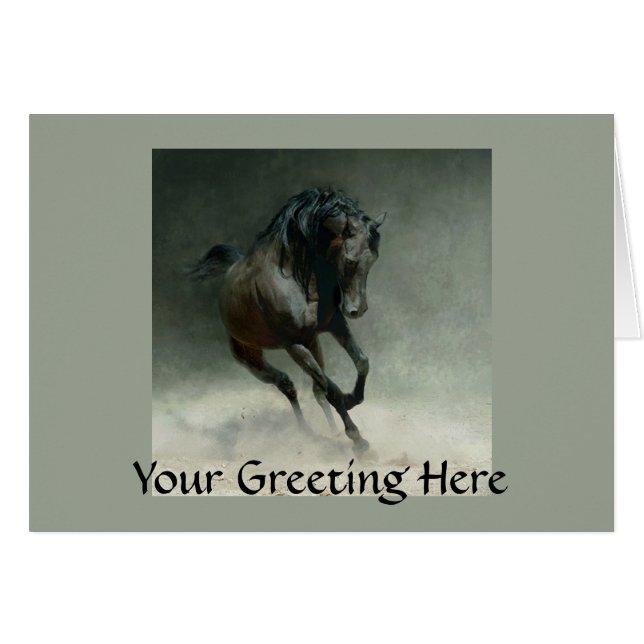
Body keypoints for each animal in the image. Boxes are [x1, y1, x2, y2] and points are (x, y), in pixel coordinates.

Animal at [189, 188, 385, 454]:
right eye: (349, 260)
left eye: (373, 258)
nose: (357, 310)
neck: (296, 275)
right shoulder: (294, 344)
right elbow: (331, 389)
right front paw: (358, 440)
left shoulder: (334, 325)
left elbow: (361, 362)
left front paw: (353, 399)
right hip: (251, 358)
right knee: (287, 384)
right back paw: (306, 432)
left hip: (313, 343)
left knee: (314, 390)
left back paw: (330, 431)